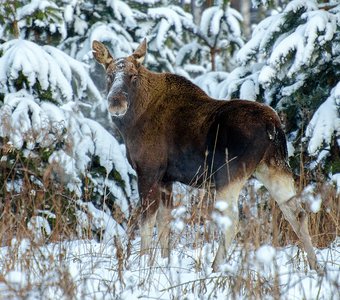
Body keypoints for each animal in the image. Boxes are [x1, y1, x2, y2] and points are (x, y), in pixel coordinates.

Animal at [91, 39, 320, 272]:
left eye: (133, 76)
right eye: (109, 75)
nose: (116, 102)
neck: (130, 124)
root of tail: (272, 125)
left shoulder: (149, 171)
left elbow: (146, 224)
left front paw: (144, 264)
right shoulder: (166, 179)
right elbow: (164, 224)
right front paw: (164, 262)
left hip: (229, 174)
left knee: (233, 221)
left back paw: (215, 267)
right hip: (273, 167)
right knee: (297, 213)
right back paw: (315, 266)